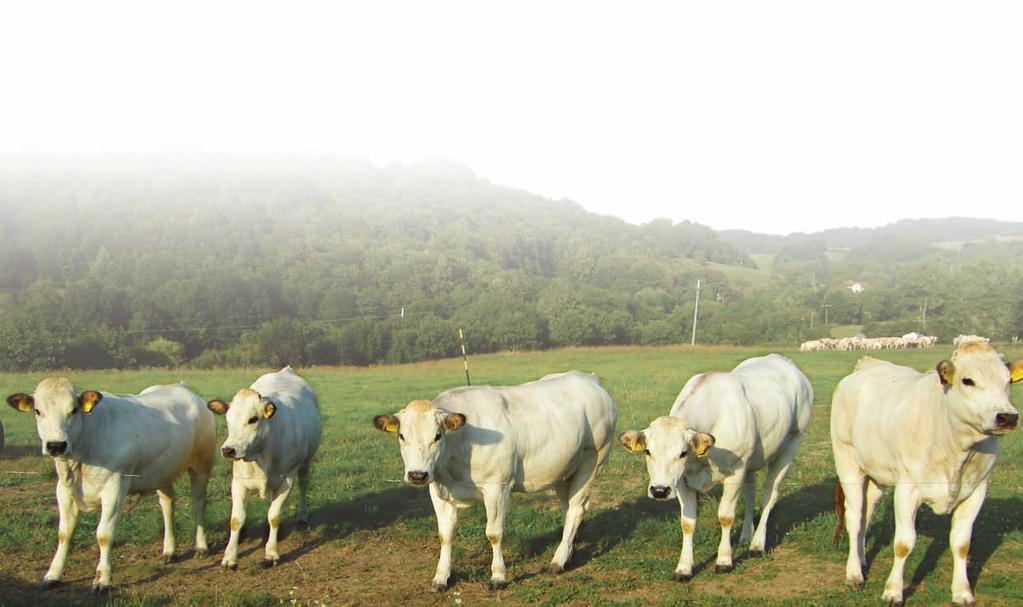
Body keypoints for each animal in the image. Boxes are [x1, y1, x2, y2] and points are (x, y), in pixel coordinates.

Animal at [4, 378, 213, 593]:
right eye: (38, 411)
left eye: (73, 409)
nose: (56, 445)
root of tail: (182, 387)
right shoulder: (64, 490)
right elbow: (64, 533)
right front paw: (53, 574)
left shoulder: (114, 489)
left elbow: (104, 534)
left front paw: (102, 579)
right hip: (163, 472)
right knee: (167, 506)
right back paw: (169, 550)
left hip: (201, 465)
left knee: (198, 502)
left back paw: (201, 546)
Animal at [374, 372, 613, 589]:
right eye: (402, 436)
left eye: (437, 436)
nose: (417, 475)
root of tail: (588, 378)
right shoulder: (437, 490)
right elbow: (445, 535)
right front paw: (441, 577)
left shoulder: (497, 487)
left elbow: (494, 533)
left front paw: (498, 576)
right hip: (564, 469)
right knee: (567, 508)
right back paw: (568, 553)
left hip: (592, 460)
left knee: (577, 509)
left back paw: (558, 560)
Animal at [613, 352, 814, 581]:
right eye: (648, 451)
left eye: (682, 453)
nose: (660, 490)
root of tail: (783, 360)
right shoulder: (682, 482)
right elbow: (688, 522)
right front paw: (684, 567)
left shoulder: (735, 472)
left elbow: (726, 516)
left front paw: (724, 560)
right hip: (751, 462)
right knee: (750, 493)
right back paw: (746, 535)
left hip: (790, 445)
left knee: (768, 497)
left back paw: (757, 544)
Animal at [834, 343, 1018, 601]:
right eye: (968, 380)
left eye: (1008, 380)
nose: (1007, 416)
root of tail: (868, 363)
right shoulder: (907, 490)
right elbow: (903, 543)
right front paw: (893, 591)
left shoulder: (976, 491)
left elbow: (962, 544)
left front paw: (962, 592)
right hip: (847, 462)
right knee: (853, 517)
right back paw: (854, 574)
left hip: (876, 473)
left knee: (865, 513)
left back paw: (861, 560)